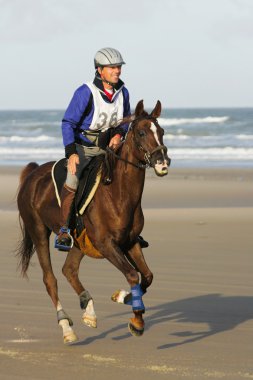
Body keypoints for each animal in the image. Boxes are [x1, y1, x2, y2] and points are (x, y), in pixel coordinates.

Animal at [15, 99, 170, 342]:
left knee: (69, 270)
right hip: (38, 231)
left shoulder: (130, 242)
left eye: (161, 131)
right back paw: (66, 327)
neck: (118, 193)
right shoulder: (106, 244)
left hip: (78, 242)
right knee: (50, 279)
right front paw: (136, 320)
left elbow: (146, 276)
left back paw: (88, 310)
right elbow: (132, 275)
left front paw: (124, 298)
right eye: (142, 132)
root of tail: (33, 173)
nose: (162, 162)